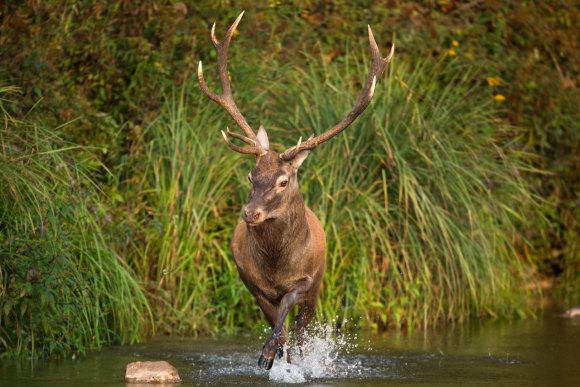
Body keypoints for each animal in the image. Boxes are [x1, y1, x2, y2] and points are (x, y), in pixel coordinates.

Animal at [197, 11, 392, 370]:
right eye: (251, 175)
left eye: (283, 181)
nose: (250, 213)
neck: (277, 266)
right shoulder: (252, 284)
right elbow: (278, 324)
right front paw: (270, 355)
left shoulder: (306, 281)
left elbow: (288, 313)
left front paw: (269, 353)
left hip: (318, 287)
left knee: (302, 331)